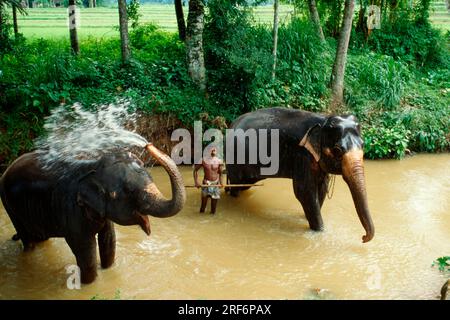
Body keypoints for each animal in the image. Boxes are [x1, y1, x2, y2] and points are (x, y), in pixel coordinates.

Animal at [0, 144, 186, 284]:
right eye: (129, 191)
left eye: (150, 176)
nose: (148, 145)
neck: (93, 165)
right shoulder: (71, 209)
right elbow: (85, 250)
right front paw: (89, 284)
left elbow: (109, 241)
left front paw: (108, 270)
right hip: (8, 204)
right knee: (26, 238)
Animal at [227, 107, 374, 242]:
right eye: (337, 150)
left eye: (363, 145)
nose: (363, 237)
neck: (323, 120)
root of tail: (231, 125)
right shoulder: (302, 154)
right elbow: (305, 192)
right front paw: (320, 231)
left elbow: (321, 189)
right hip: (235, 159)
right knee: (236, 185)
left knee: (244, 184)